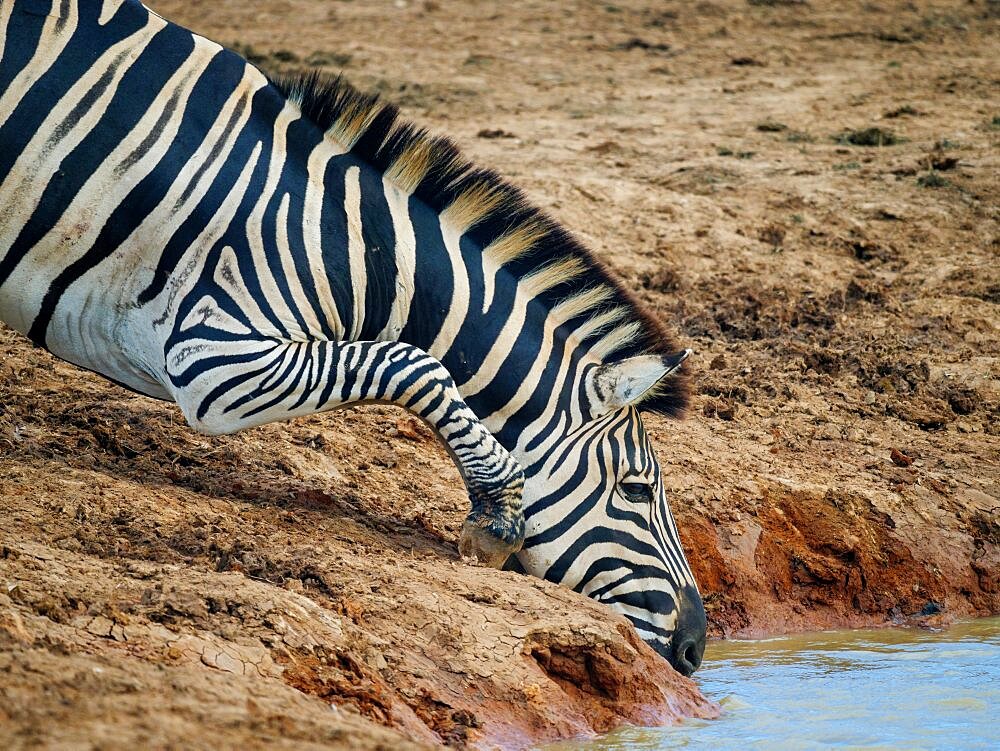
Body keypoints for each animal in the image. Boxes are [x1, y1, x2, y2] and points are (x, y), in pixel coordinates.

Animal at [0, 0, 704, 676]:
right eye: (637, 489)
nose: (697, 649)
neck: (344, 245)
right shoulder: (211, 358)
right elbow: (414, 363)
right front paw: (497, 517)